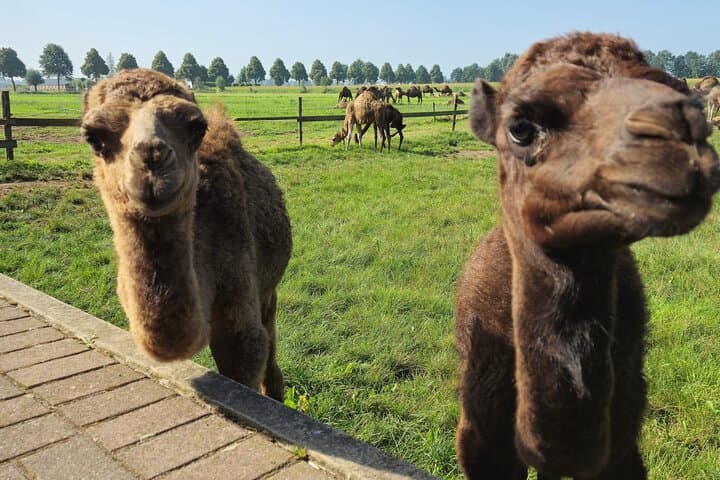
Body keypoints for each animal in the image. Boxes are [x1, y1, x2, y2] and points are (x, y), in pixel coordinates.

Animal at [81, 69, 292, 401]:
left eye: (196, 127)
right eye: (94, 137)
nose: (152, 158)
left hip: (268, 288)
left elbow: (248, 361)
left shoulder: (241, 326)